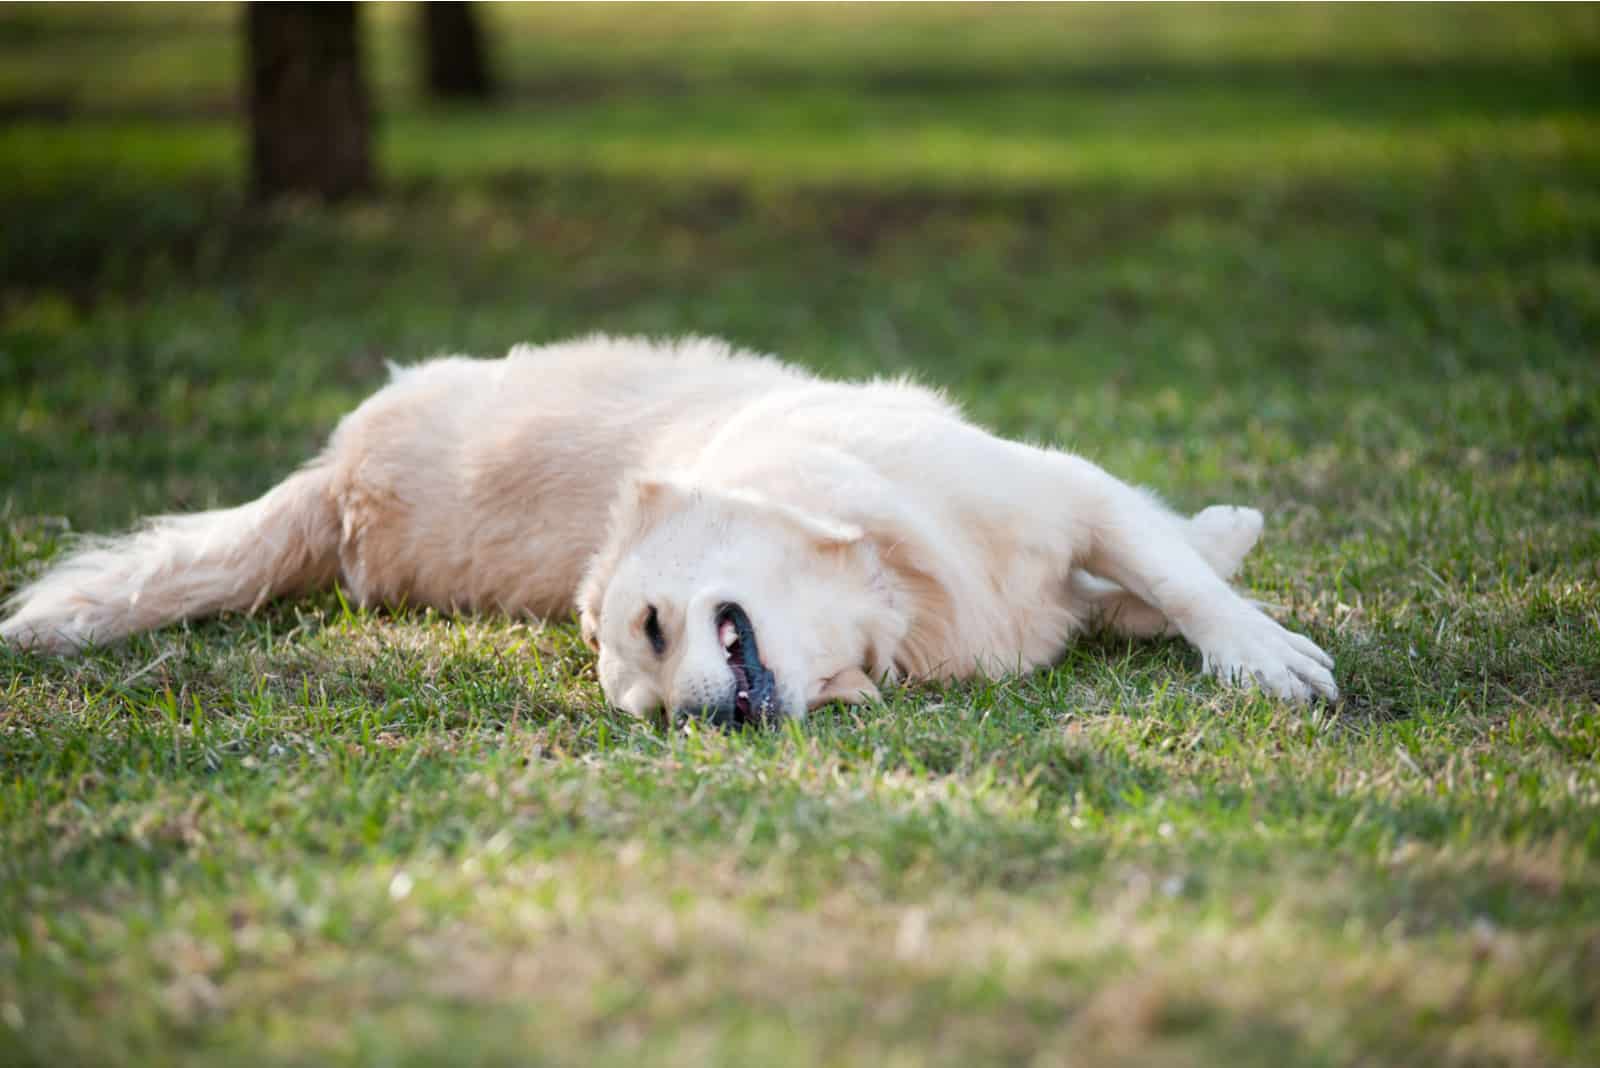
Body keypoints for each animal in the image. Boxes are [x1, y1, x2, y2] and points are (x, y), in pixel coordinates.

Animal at [3, 335, 1337, 725]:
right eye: (641, 708)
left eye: (651, 625)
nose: (701, 721)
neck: (893, 586)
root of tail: (336, 479)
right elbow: (1143, 586)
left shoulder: (1067, 494)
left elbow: (1169, 574)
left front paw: (1256, 646)